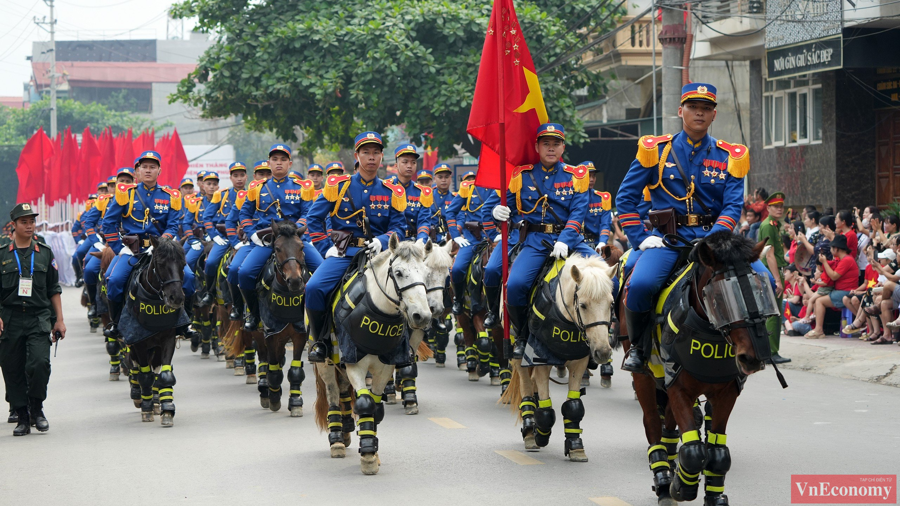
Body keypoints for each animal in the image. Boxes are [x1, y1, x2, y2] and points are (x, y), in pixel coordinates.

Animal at [312, 236, 432, 474]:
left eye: (426, 273)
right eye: (399, 272)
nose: (422, 316)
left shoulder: (385, 366)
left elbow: (375, 408)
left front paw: (372, 452)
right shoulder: (355, 364)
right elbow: (365, 402)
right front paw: (367, 456)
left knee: (342, 390)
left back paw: (347, 429)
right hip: (326, 363)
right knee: (332, 394)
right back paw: (337, 440)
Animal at [398, 241, 458, 416]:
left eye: (446, 276)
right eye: (427, 273)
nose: (436, 309)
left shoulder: (416, 334)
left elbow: (409, 360)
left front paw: (409, 397)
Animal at [500, 256, 620, 462]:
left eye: (611, 304)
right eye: (583, 305)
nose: (603, 352)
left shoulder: (579, 363)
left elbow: (573, 406)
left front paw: (575, 445)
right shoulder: (540, 360)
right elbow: (546, 411)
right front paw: (540, 434)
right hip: (519, 356)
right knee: (526, 387)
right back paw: (530, 431)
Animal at [620, 233, 780, 506]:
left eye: (761, 292)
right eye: (720, 298)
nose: (751, 358)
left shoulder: (726, 392)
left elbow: (718, 453)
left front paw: (714, 496)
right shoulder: (678, 386)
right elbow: (694, 451)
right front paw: (679, 487)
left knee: (669, 426)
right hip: (644, 377)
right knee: (652, 423)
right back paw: (664, 481)